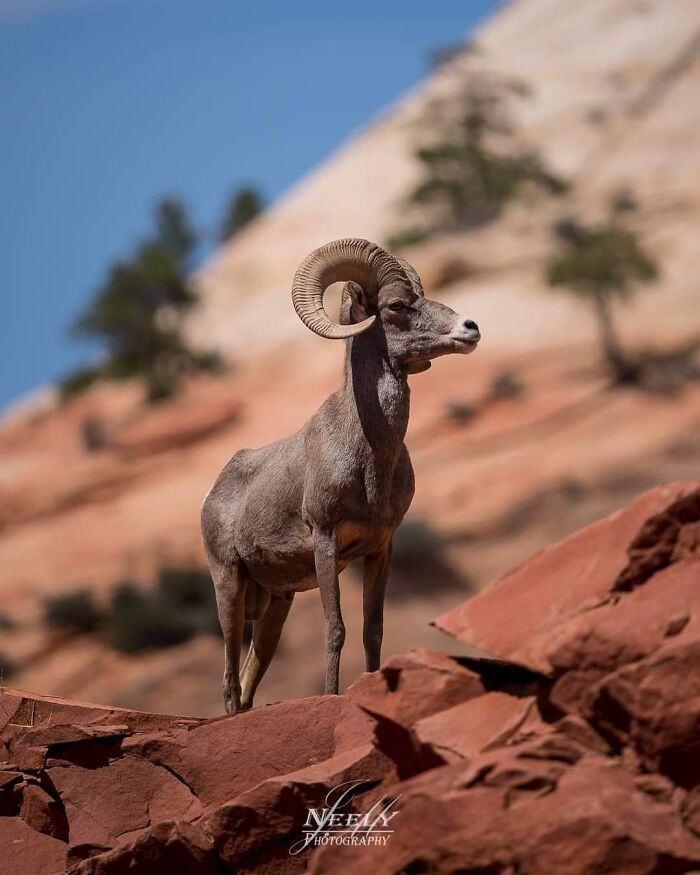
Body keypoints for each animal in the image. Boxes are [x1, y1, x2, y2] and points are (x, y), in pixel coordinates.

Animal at [201, 238, 481, 713]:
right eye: (396, 305)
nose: (470, 327)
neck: (369, 457)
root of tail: (215, 491)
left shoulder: (381, 549)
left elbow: (373, 631)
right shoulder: (326, 541)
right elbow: (336, 630)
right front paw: (331, 697)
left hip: (278, 602)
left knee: (251, 674)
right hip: (229, 585)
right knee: (229, 680)